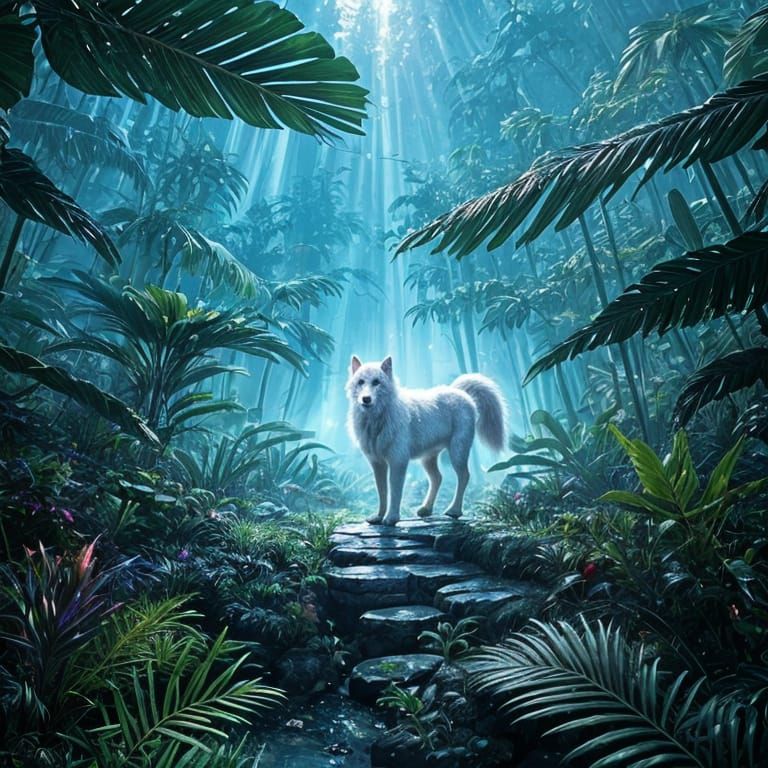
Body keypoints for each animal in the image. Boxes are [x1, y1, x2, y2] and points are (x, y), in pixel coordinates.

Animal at [346, 355, 506, 526]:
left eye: (376, 382)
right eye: (361, 382)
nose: (366, 399)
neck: (376, 420)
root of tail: (461, 392)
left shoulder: (398, 461)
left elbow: (395, 491)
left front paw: (391, 518)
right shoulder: (378, 464)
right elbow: (382, 492)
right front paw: (378, 517)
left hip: (457, 452)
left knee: (464, 476)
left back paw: (454, 511)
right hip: (427, 459)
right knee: (438, 478)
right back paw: (426, 509)